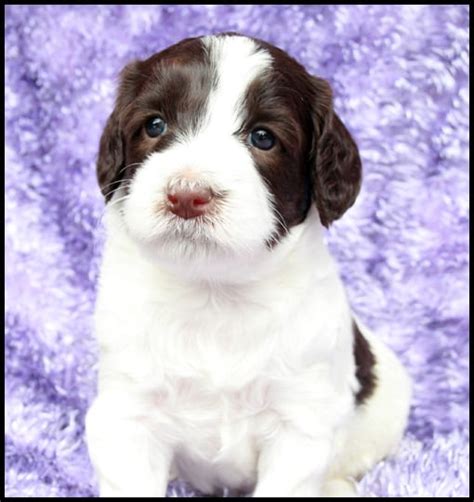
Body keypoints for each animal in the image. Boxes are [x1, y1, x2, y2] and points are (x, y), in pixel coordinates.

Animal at [85, 33, 412, 496]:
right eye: (154, 126)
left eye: (263, 138)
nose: (187, 195)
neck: (213, 295)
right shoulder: (127, 415)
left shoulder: (301, 424)